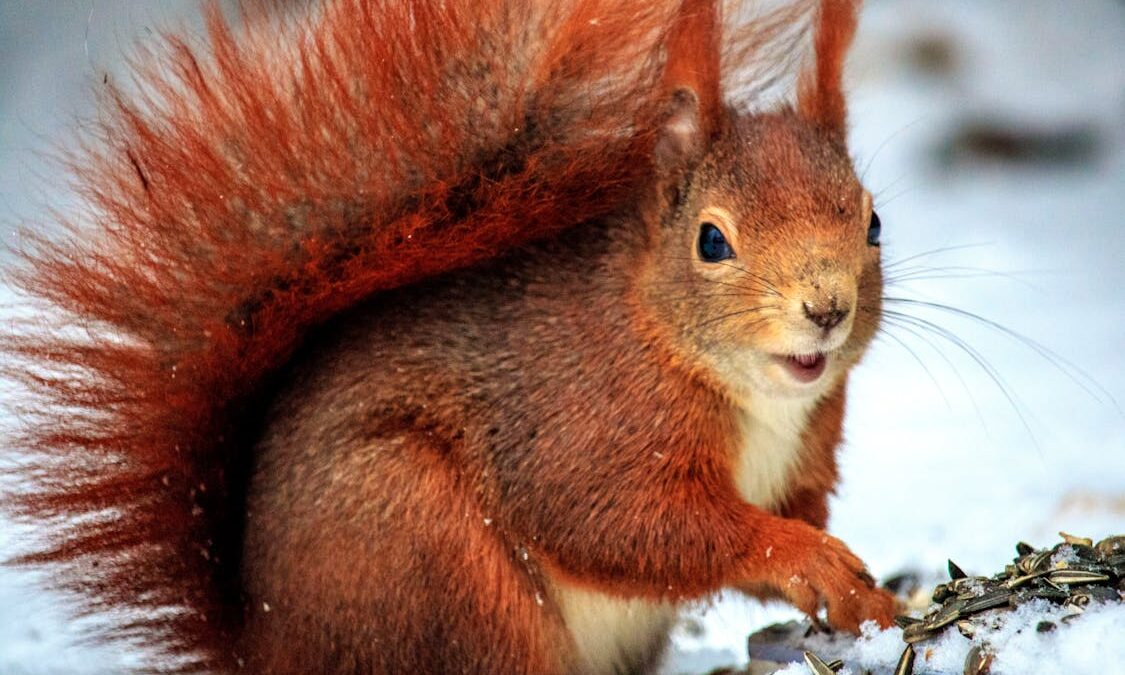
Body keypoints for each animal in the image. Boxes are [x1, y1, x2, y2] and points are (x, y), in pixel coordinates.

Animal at [2, 0, 895, 670]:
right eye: (711, 240)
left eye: (873, 222)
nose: (826, 307)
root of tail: (267, 650)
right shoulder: (581, 424)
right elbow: (623, 524)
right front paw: (803, 555)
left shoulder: (805, 453)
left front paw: (865, 594)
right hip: (430, 555)